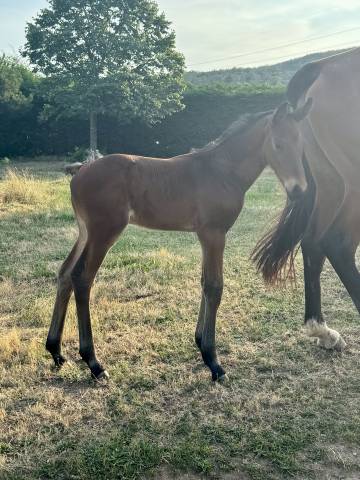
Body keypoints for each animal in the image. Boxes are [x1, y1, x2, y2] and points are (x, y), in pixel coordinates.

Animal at [46, 99, 312, 380]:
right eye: (278, 144)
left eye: (301, 145)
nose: (299, 190)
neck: (222, 170)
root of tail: (78, 175)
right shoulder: (213, 232)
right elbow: (214, 286)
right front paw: (213, 361)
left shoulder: (206, 235)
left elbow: (205, 282)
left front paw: (200, 343)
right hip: (104, 233)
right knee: (82, 278)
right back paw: (94, 363)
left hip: (85, 232)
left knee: (65, 274)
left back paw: (55, 351)